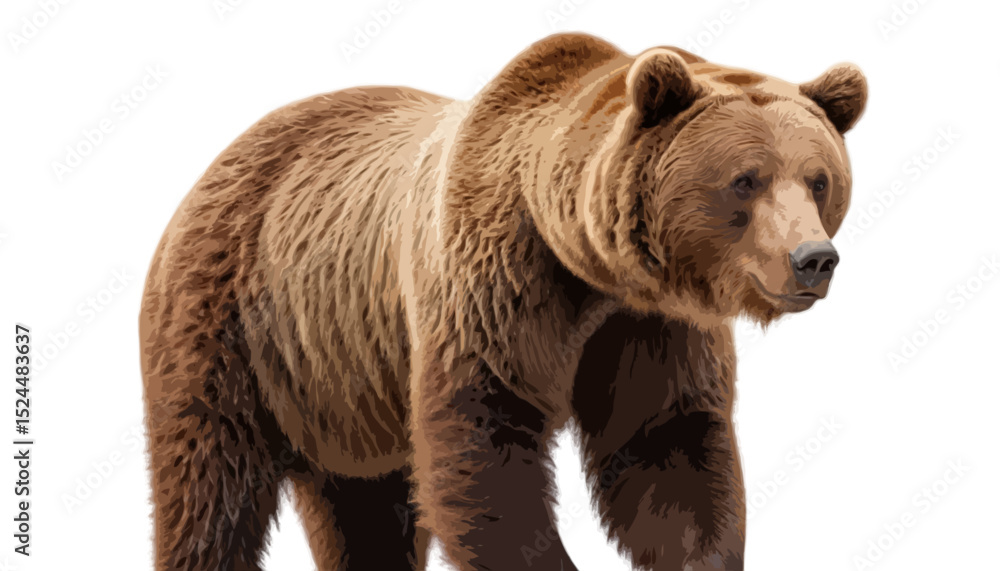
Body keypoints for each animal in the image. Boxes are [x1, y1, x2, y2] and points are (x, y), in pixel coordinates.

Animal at [139, 32, 866, 571]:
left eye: (819, 178)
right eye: (746, 180)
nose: (813, 258)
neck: (588, 267)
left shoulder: (650, 324)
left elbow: (667, 446)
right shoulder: (493, 284)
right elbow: (486, 440)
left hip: (339, 380)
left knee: (365, 507)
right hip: (232, 324)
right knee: (209, 483)